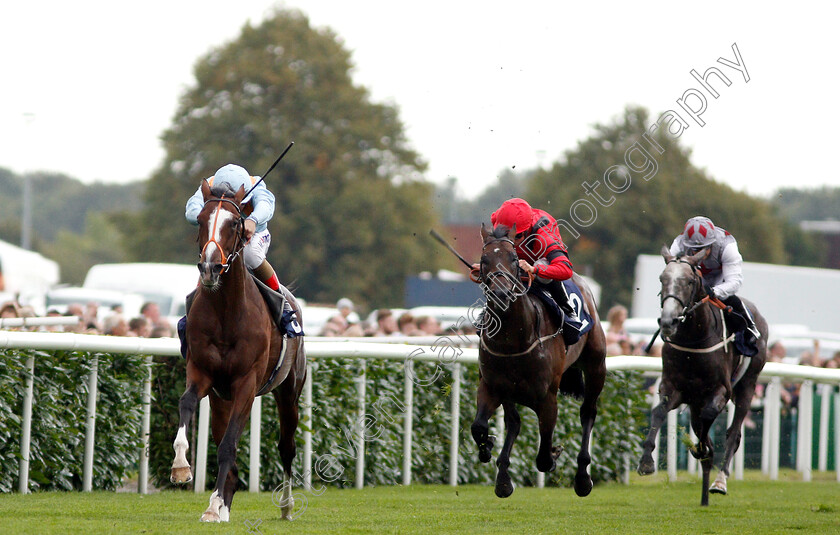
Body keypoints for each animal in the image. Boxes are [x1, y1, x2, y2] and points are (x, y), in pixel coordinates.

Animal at [169, 180, 306, 524]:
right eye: (200, 220)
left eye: (234, 223)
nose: (210, 267)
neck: (226, 313)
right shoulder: (201, 372)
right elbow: (187, 403)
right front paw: (181, 468)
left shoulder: (247, 381)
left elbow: (229, 445)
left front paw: (214, 504)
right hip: (222, 399)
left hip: (288, 391)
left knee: (287, 445)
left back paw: (286, 506)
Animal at [470, 223, 608, 498]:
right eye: (484, 259)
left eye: (514, 260)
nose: (501, 293)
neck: (513, 340)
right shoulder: (491, 386)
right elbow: (479, 426)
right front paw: (488, 447)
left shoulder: (547, 398)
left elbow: (543, 456)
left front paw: (554, 454)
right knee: (514, 422)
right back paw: (503, 477)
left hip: (596, 365)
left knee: (588, 412)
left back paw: (582, 478)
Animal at [636, 247, 768, 506]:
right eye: (662, 279)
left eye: (688, 281)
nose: (668, 321)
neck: (693, 340)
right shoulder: (673, 388)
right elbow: (658, 412)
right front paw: (646, 461)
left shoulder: (720, 391)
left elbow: (710, 418)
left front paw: (703, 449)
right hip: (696, 401)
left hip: (747, 386)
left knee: (734, 433)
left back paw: (719, 481)